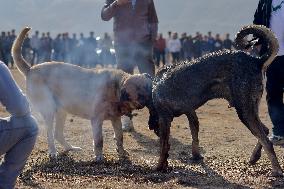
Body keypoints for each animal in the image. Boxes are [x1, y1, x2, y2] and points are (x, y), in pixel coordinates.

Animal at [148, 24, 282, 176]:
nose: (150, 126)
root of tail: (256, 60)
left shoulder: (165, 118)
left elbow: (163, 146)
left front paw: (159, 166)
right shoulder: (191, 113)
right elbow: (194, 137)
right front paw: (196, 156)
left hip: (245, 111)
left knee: (267, 141)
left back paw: (276, 170)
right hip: (250, 108)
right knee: (264, 131)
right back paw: (254, 157)